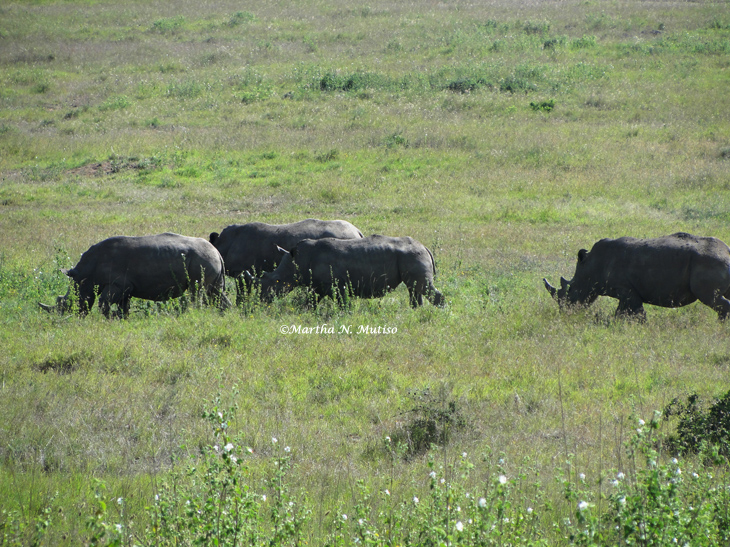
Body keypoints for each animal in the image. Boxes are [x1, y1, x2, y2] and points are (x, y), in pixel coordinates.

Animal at [39, 233, 231, 318]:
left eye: (67, 303)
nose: (68, 317)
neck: (85, 274)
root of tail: (216, 251)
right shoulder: (126, 287)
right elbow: (123, 306)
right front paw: (121, 319)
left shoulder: (117, 284)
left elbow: (103, 303)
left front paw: (109, 318)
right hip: (209, 260)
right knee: (215, 292)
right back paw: (223, 315)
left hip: (202, 260)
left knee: (197, 291)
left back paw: (194, 314)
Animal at [209, 218, 364, 304]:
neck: (223, 243)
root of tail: (357, 231)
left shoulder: (241, 270)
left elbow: (242, 291)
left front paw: (240, 305)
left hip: (344, 237)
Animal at [254, 235, 445, 307]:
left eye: (276, 281)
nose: (261, 301)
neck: (297, 261)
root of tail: (425, 247)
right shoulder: (318, 285)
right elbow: (310, 302)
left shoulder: (336, 285)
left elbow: (342, 303)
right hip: (411, 256)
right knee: (414, 289)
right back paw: (416, 312)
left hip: (413, 255)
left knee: (421, 287)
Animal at [543, 232, 730, 320]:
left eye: (571, 291)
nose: (566, 312)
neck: (590, 266)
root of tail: (726, 251)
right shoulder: (626, 291)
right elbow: (624, 311)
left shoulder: (626, 290)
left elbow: (634, 311)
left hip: (709, 261)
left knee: (711, 298)